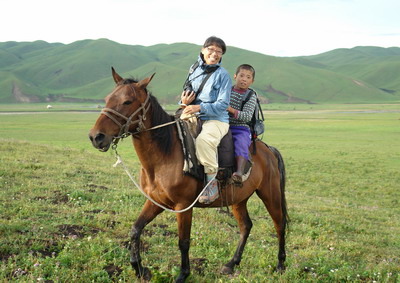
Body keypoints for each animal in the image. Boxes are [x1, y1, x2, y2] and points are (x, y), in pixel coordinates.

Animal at [88, 67, 288, 282]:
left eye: (127, 101)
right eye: (107, 98)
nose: (96, 137)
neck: (166, 153)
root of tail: (268, 149)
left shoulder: (183, 206)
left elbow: (183, 241)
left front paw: (183, 274)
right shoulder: (155, 201)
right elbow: (135, 229)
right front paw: (139, 269)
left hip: (270, 194)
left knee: (279, 224)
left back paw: (280, 265)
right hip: (238, 199)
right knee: (246, 226)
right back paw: (231, 264)